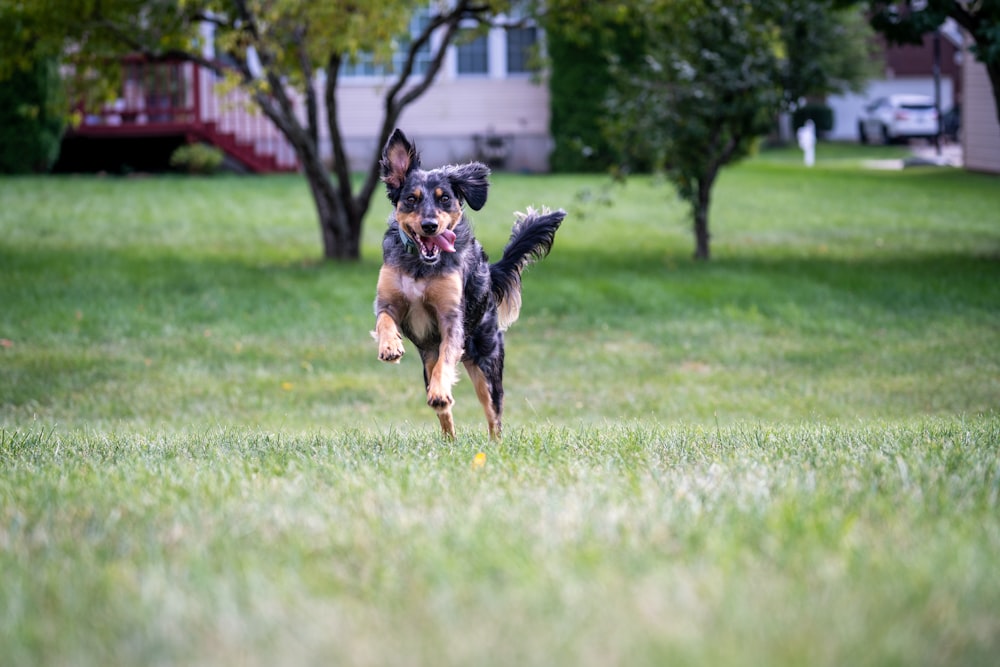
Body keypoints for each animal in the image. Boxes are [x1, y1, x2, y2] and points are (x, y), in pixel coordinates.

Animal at [374, 130, 564, 440]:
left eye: (445, 199)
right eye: (411, 199)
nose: (429, 225)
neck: (421, 266)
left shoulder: (452, 318)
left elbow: (446, 362)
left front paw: (440, 391)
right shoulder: (388, 301)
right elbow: (384, 321)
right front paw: (390, 346)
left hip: (487, 364)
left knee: (493, 416)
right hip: (428, 362)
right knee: (444, 413)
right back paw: (448, 436)